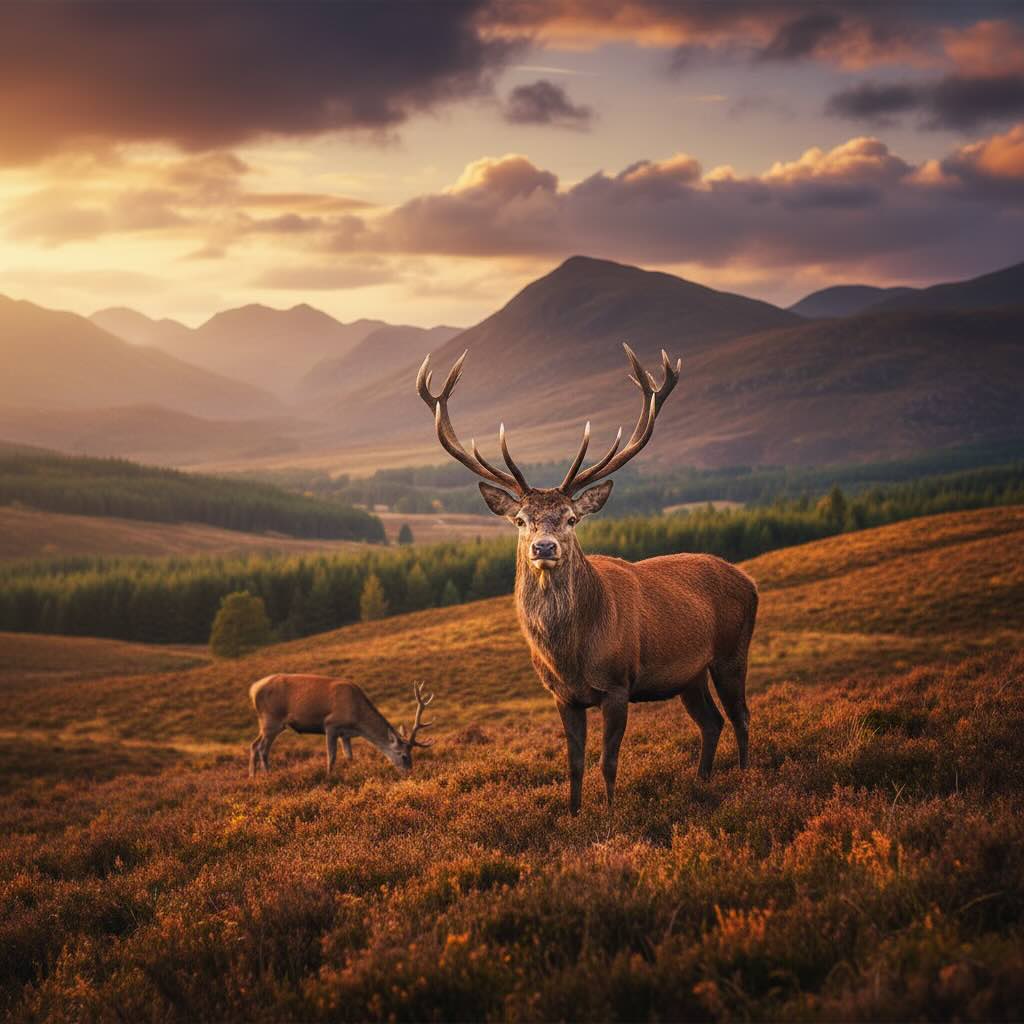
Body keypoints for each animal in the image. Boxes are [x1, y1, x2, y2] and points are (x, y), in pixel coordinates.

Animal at [248, 676, 434, 777]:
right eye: (403, 756)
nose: (410, 773)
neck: (357, 719)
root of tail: (253, 689)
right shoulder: (331, 725)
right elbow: (331, 757)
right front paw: (329, 778)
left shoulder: (346, 734)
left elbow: (349, 757)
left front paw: (353, 773)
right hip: (271, 720)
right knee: (263, 748)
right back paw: (268, 775)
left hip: (265, 723)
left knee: (254, 744)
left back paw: (253, 776)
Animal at [416, 344, 758, 815]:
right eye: (520, 520)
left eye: (572, 518)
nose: (544, 547)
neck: (571, 655)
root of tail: (749, 581)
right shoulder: (563, 696)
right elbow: (574, 763)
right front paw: (574, 813)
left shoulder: (617, 685)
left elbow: (607, 761)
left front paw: (611, 814)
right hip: (689, 675)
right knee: (712, 722)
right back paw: (702, 781)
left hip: (731, 653)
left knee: (741, 715)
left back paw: (744, 778)